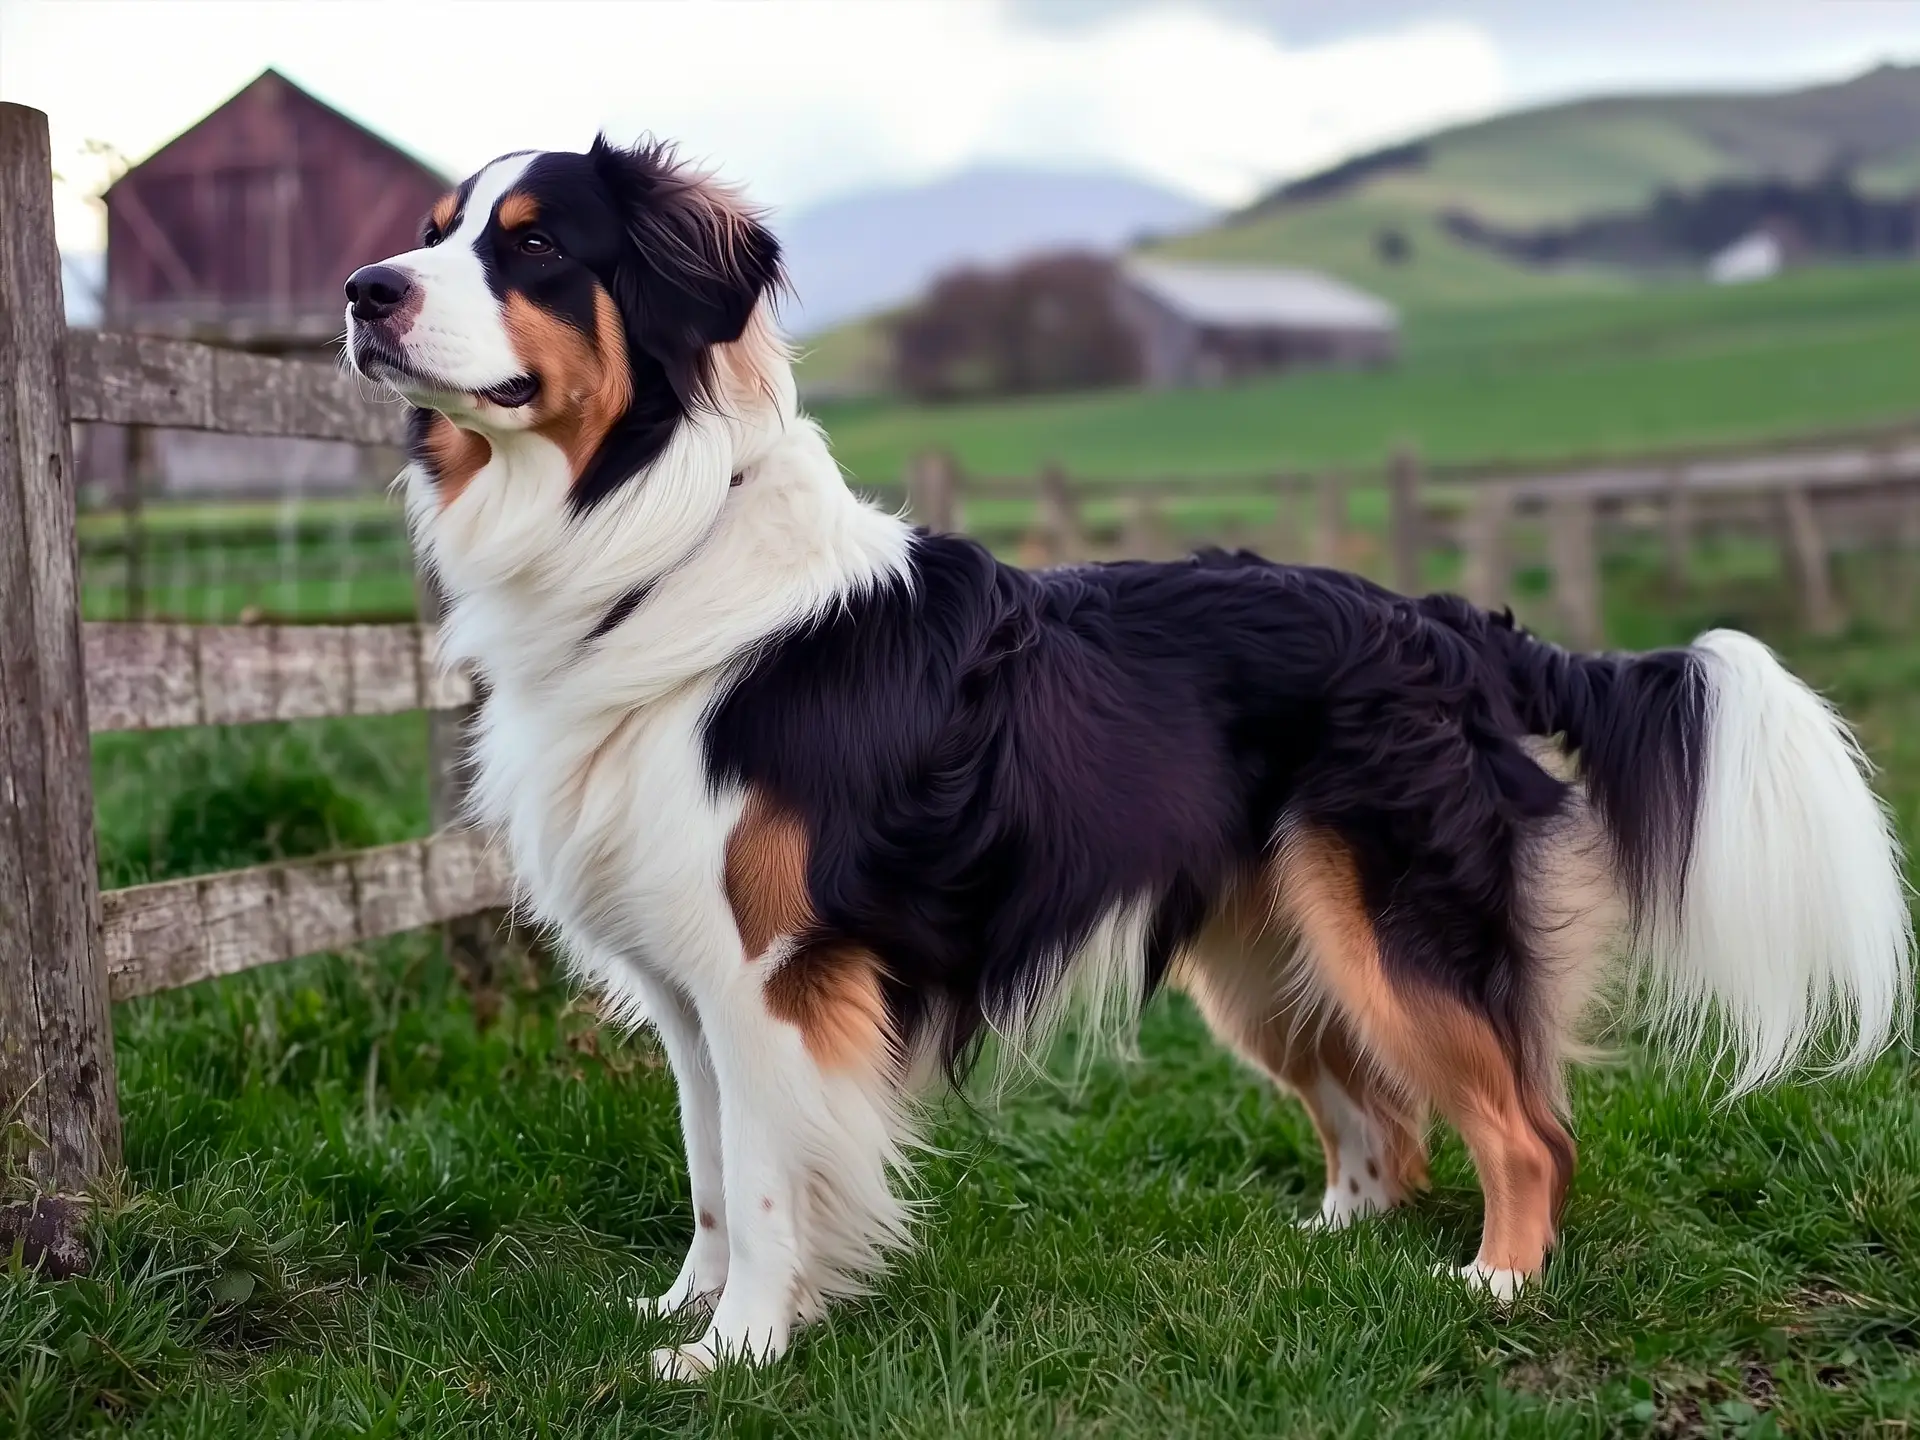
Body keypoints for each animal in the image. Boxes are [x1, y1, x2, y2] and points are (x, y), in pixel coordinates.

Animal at [349, 138, 1920, 1390]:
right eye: (434, 226)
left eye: (535, 243)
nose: (365, 292)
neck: (644, 541)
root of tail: (1449, 623)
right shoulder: (688, 994)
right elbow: (711, 1172)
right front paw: (689, 1307)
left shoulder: (774, 977)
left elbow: (772, 1178)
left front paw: (738, 1350)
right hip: (1269, 958)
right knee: (1391, 1127)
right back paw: (1330, 1248)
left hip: (1395, 930)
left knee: (1528, 1130)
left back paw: (1497, 1283)